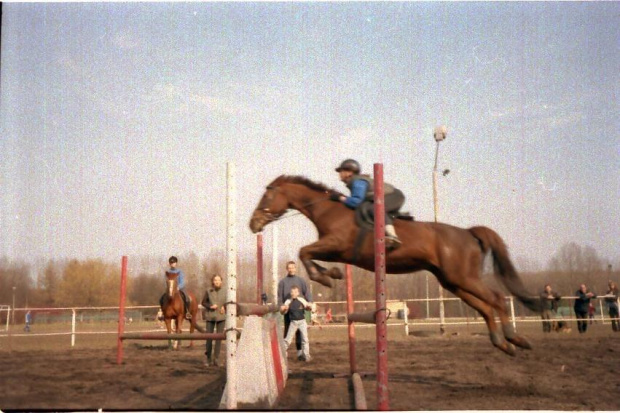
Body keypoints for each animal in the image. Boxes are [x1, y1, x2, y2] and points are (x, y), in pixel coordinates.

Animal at [252, 174, 544, 354]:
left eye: (266, 197)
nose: (252, 224)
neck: (329, 209)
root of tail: (469, 233)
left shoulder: (337, 244)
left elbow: (304, 251)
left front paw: (325, 276)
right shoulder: (337, 251)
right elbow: (307, 254)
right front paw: (330, 273)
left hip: (463, 278)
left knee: (496, 298)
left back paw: (515, 338)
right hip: (452, 282)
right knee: (484, 307)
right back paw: (502, 344)